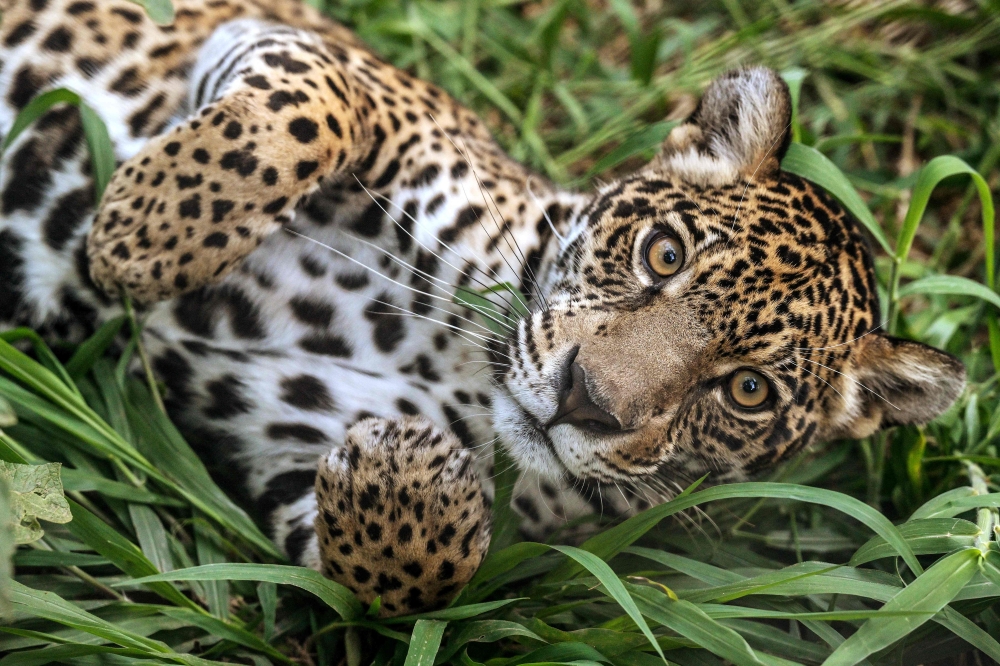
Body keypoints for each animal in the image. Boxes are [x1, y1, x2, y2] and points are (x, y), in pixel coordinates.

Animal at [0, 0, 967, 616]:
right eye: (665, 253)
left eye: (749, 391)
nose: (588, 401)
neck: (459, 356)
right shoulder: (291, 47)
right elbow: (310, 107)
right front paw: (143, 233)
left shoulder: (273, 446)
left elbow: (415, 581)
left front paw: (408, 474)